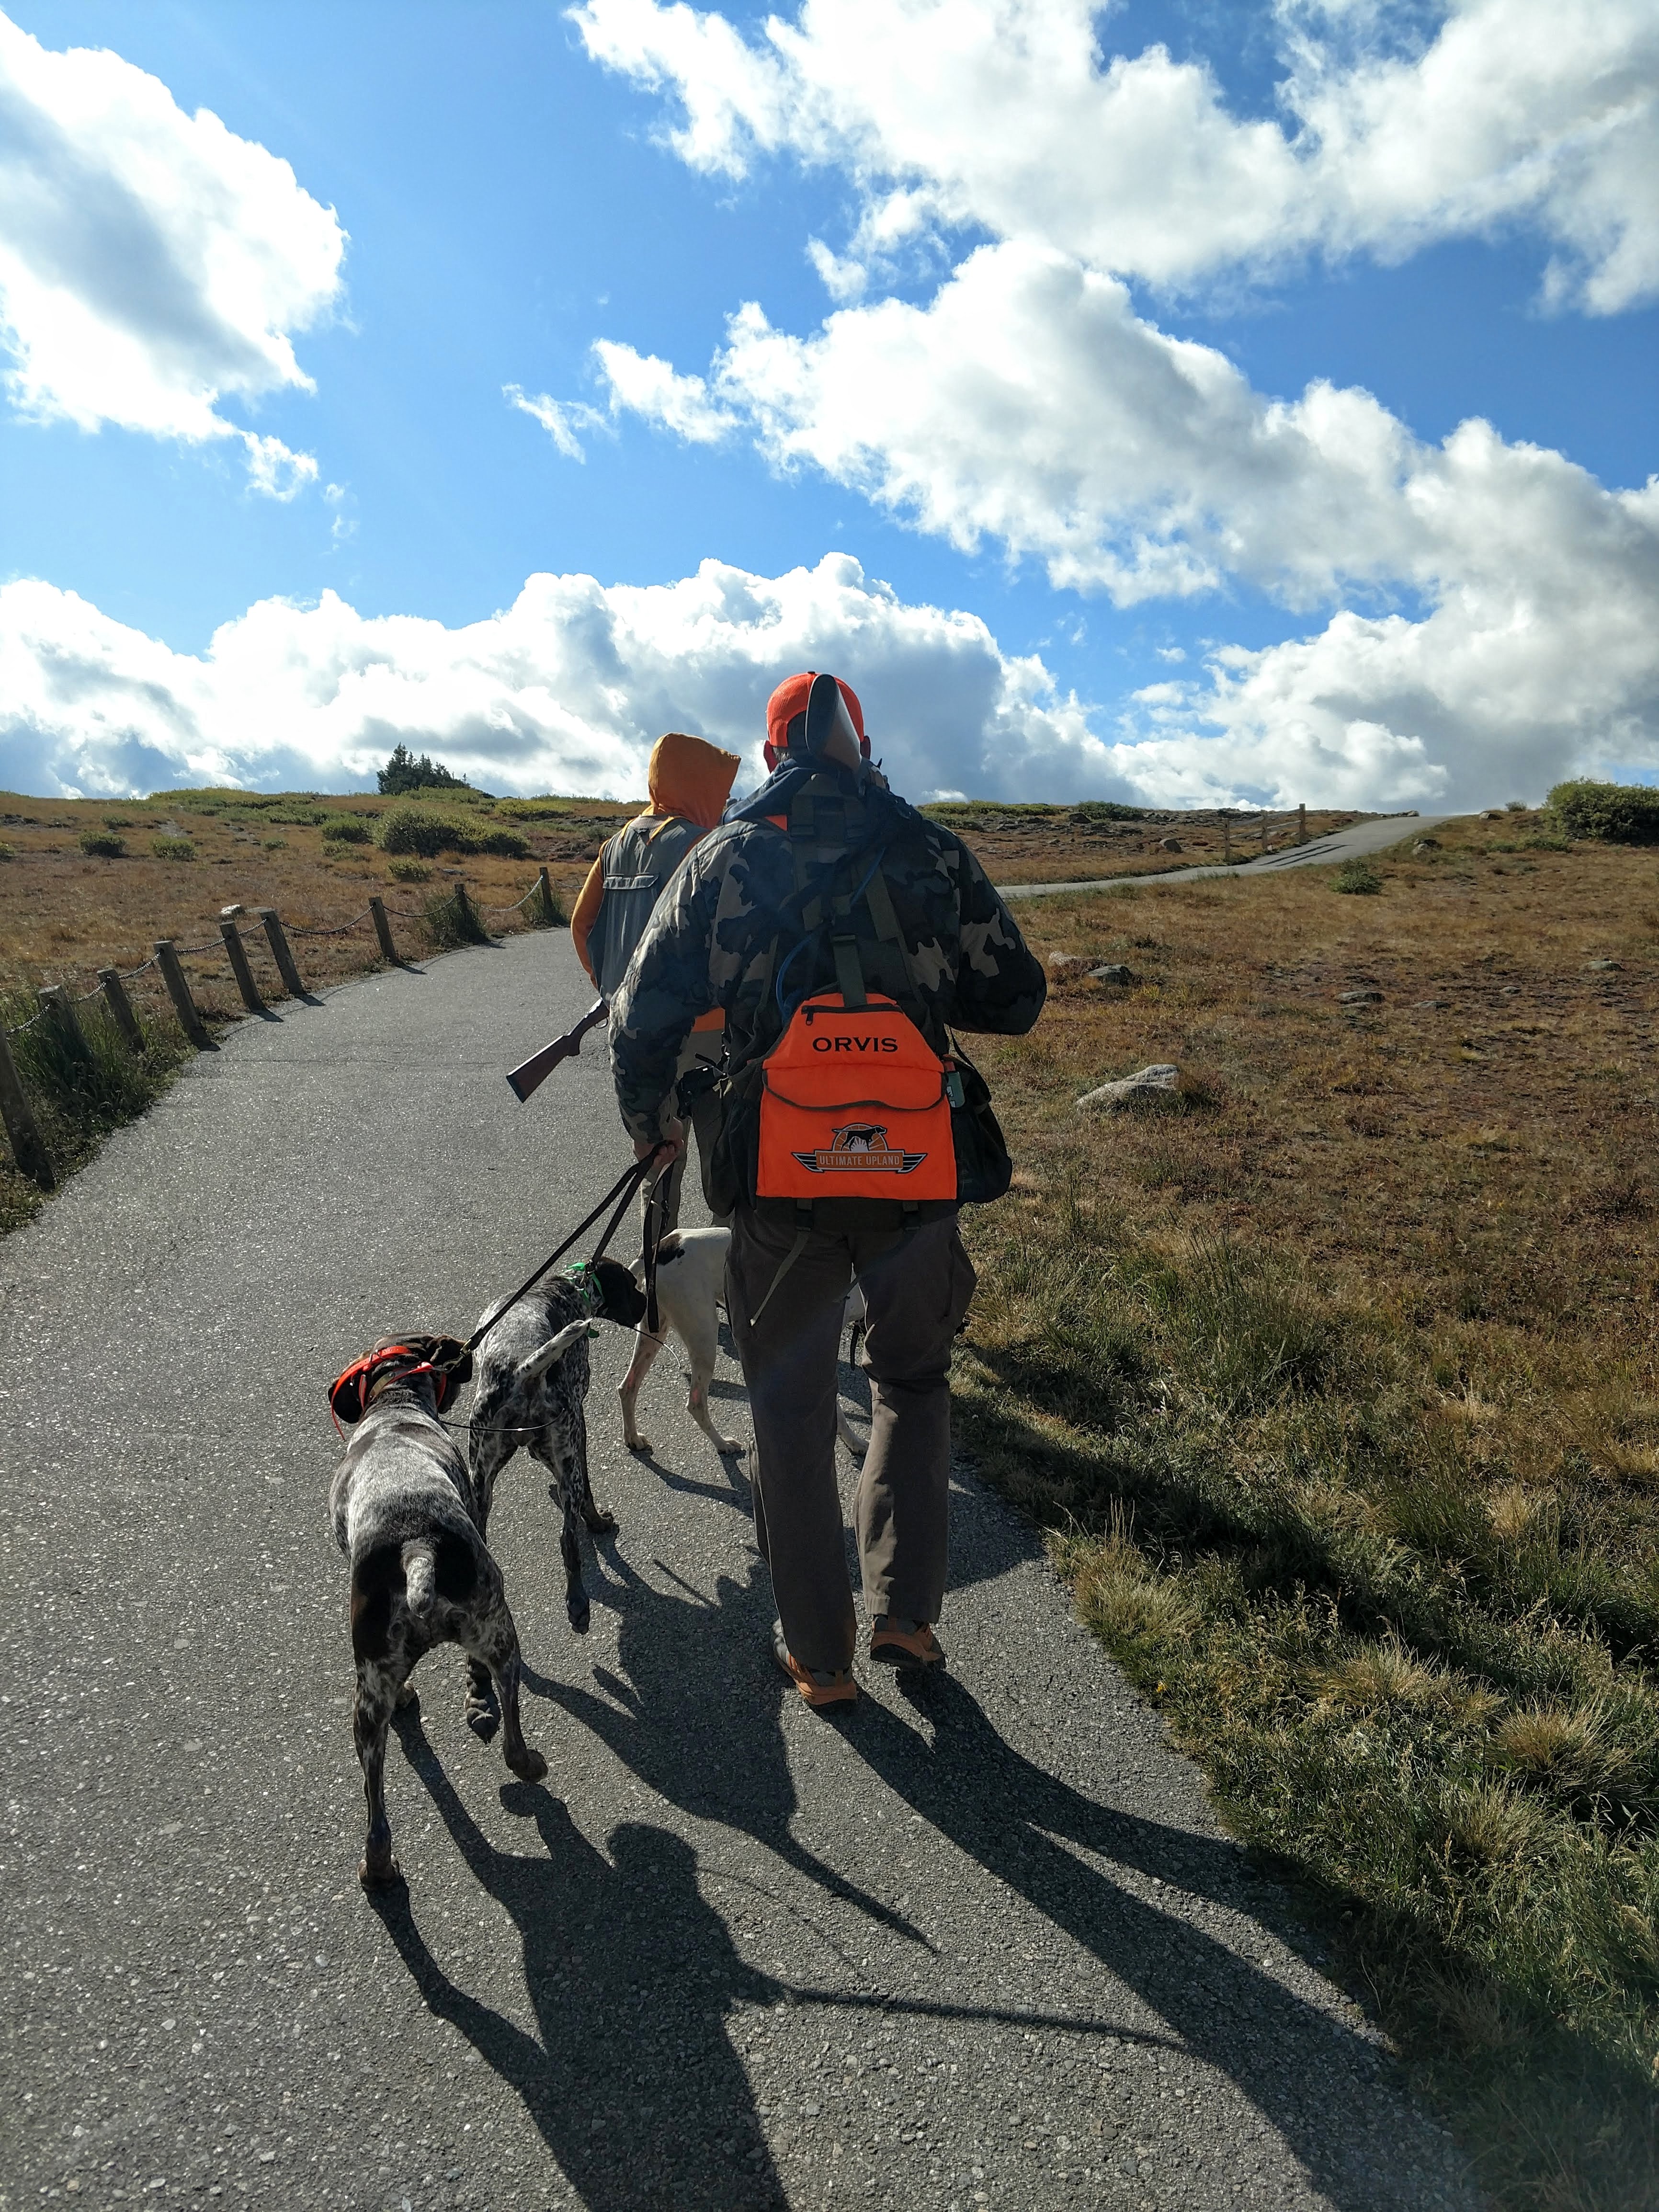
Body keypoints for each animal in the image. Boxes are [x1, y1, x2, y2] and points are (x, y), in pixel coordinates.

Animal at [327, 1327, 548, 1884]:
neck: (395, 1405)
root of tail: (417, 1548)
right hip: (501, 1635)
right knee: (512, 1738)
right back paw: (529, 1763)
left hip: (369, 1704)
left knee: (376, 1807)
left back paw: (378, 1870)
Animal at [469, 1256, 655, 1654]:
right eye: (632, 1285)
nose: (648, 1305)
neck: (565, 1288)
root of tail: (522, 1370)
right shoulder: (578, 1421)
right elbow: (586, 1492)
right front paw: (597, 1521)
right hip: (567, 1446)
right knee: (568, 1539)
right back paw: (578, 1604)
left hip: (480, 1475)